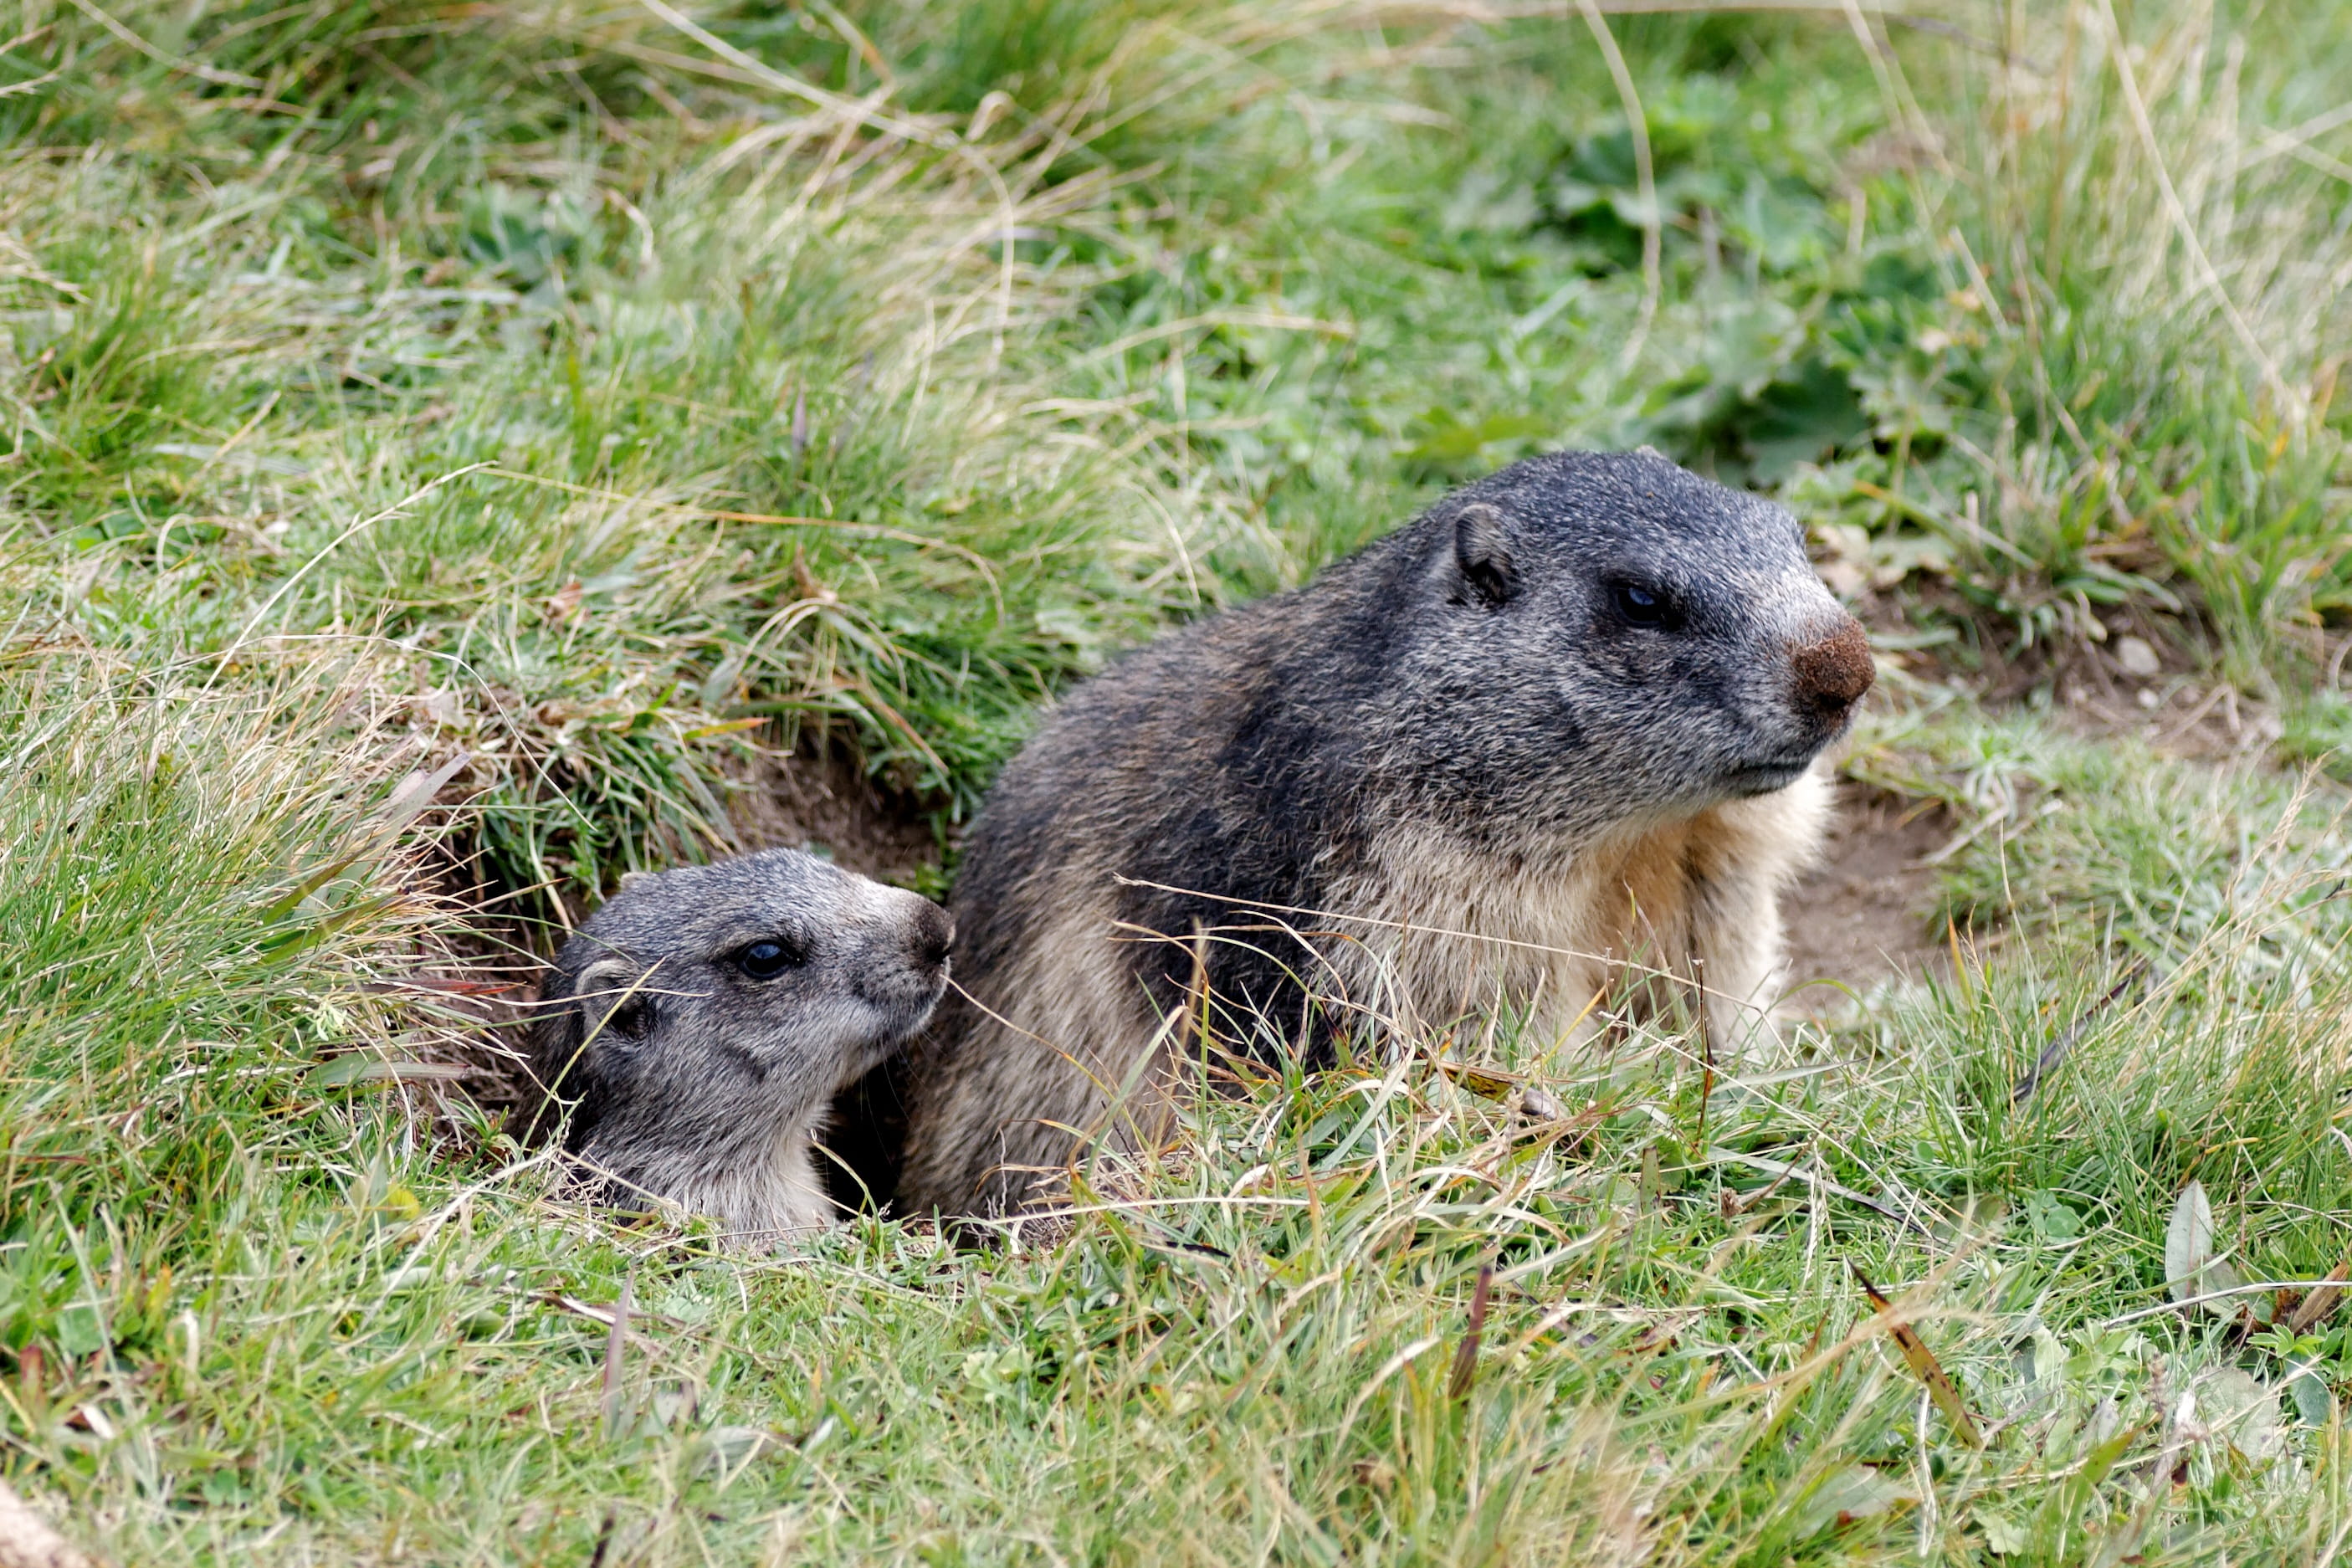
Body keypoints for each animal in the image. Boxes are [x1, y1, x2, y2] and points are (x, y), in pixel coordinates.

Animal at [884, 449, 1872, 1221]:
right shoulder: (1376, 893)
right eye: (1639, 599)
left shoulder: (1718, 886)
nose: (1845, 666)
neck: (1634, 841)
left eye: (1794, 537)